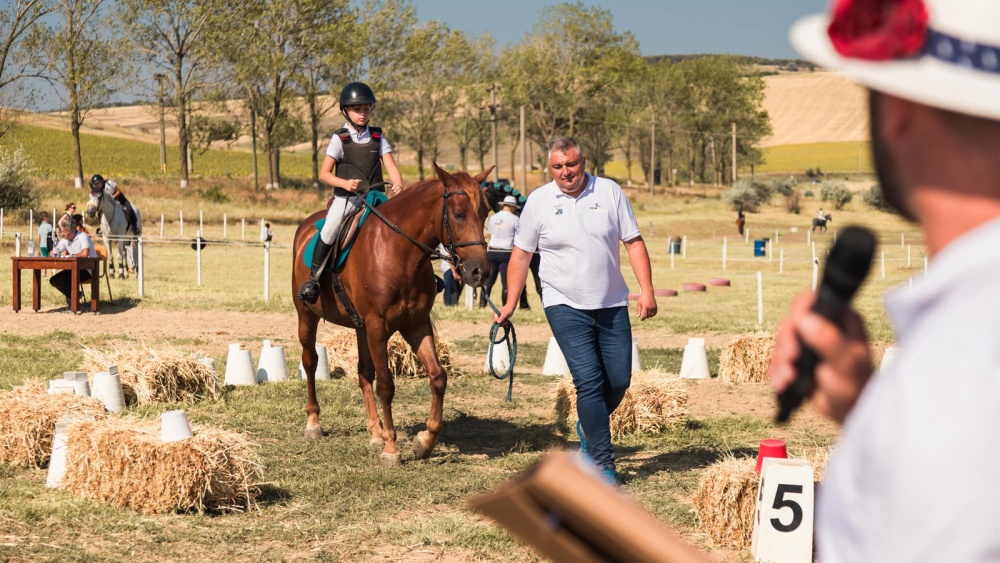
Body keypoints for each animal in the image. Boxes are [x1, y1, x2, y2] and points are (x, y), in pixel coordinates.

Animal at [290, 164, 492, 468]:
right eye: (458, 214)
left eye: (485, 213)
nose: (480, 272)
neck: (400, 252)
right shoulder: (378, 327)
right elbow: (386, 385)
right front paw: (391, 449)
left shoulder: (415, 325)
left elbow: (438, 376)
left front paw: (424, 442)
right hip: (307, 316)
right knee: (311, 362)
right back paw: (314, 422)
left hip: (360, 327)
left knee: (363, 372)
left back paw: (376, 431)